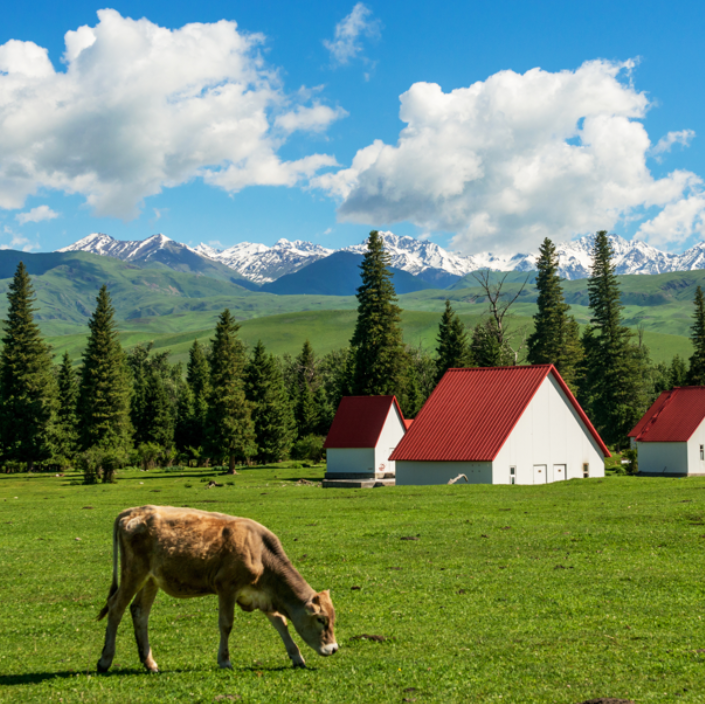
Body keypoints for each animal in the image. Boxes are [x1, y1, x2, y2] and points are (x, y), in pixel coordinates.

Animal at [96, 504, 338, 672]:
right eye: (321, 620)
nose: (334, 648)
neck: (260, 553)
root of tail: (133, 511)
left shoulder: (262, 595)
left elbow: (281, 623)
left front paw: (296, 656)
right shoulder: (227, 588)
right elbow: (226, 624)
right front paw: (224, 660)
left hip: (151, 580)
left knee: (139, 612)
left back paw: (149, 663)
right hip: (134, 572)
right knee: (116, 607)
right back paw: (105, 660)